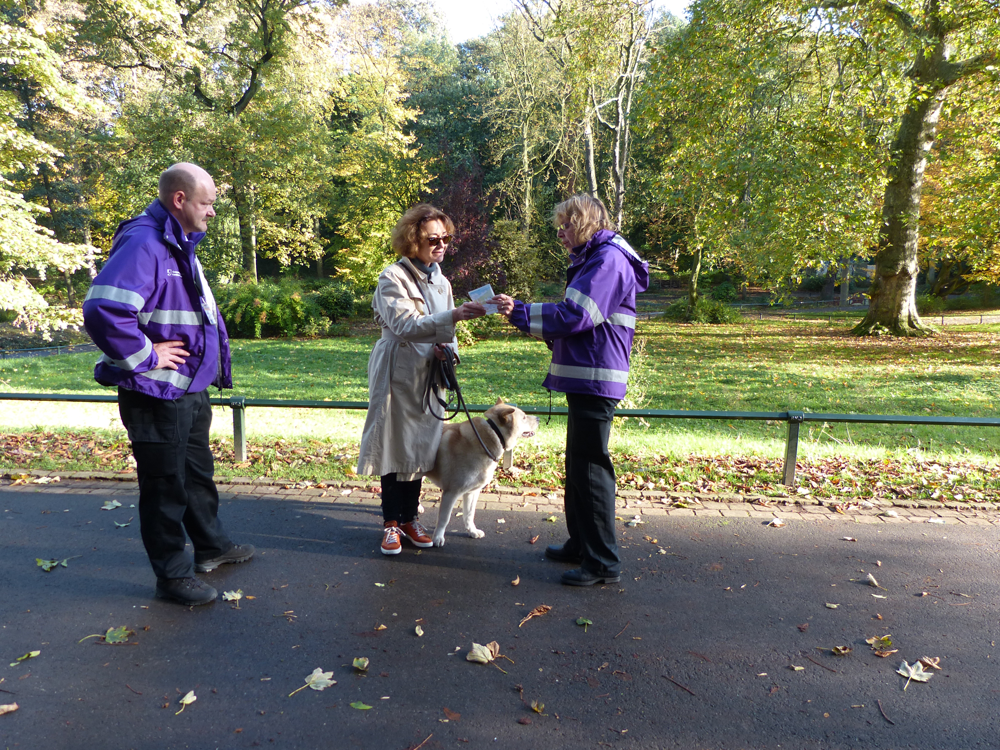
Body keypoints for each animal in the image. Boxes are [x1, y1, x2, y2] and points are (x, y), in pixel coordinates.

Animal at [428, 400, 544, 548]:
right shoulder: (451, 492)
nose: (539, 418)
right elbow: (444, 518)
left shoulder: (472, 492)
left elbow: (469, 514)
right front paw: (438, 537)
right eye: (524, 417)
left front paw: (472, 531)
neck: (494, 435)